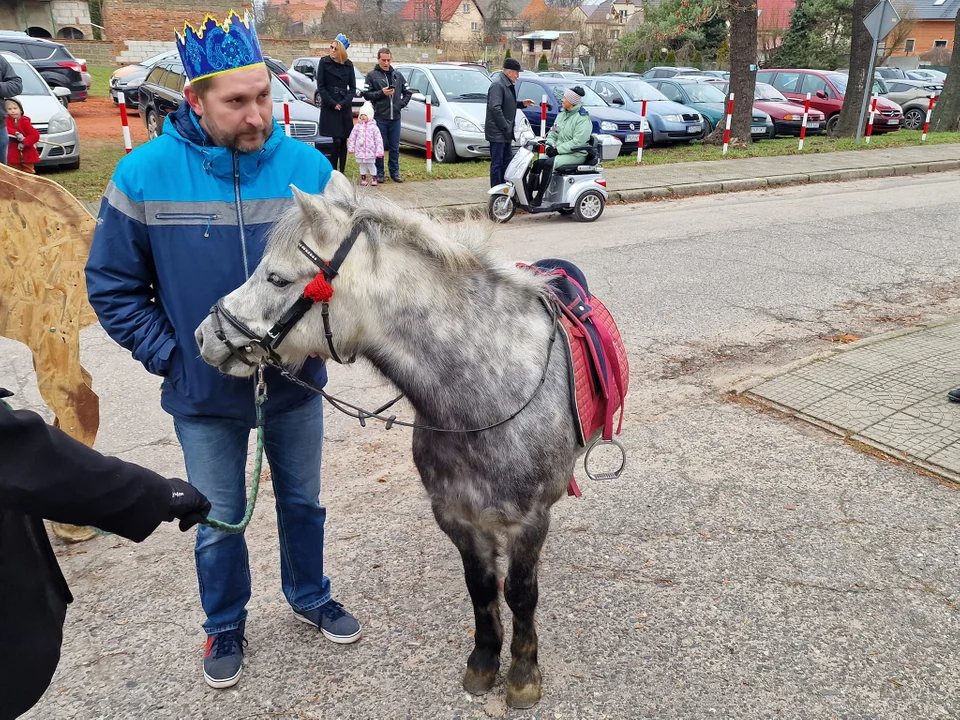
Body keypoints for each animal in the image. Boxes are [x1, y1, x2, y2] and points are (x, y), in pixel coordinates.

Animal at [195, 170, 628, 708]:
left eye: (276, 278)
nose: (204, 336)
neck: (485, 394)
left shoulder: (527, 520)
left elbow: (520, 594)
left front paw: (524, 675)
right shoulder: (457, 517)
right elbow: (482, 589)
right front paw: (483, 663)